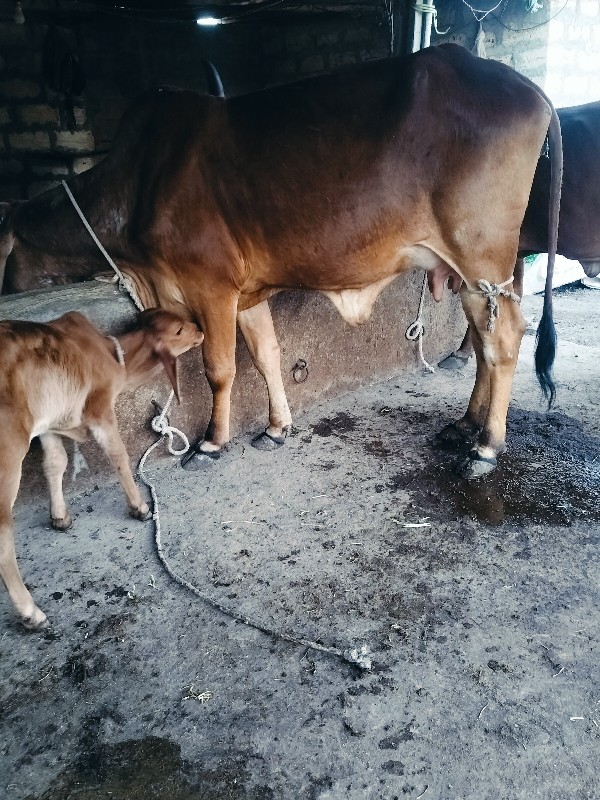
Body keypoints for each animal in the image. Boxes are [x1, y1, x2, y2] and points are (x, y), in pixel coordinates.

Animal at [0, 45, 564, 476]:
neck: (136, 182)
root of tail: (532, 90)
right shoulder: (246, 293)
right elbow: (266, 354)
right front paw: (276, 427)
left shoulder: (211, 287)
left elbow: (220, 367)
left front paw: (212, 441)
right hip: (470, 275)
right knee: (484, 343)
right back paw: (465, 425)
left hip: (481, 260)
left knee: (504, 341)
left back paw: (486, 447)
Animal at [0, 310, 204, 628]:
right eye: (180, 329)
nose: (201, 330)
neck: (115, 358)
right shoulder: (100, 410)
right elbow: (118, 454)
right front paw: (140, 507)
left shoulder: (49, 424)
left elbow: (56, 461)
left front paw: (60, 516)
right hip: (8, 450)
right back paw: (30, 611)